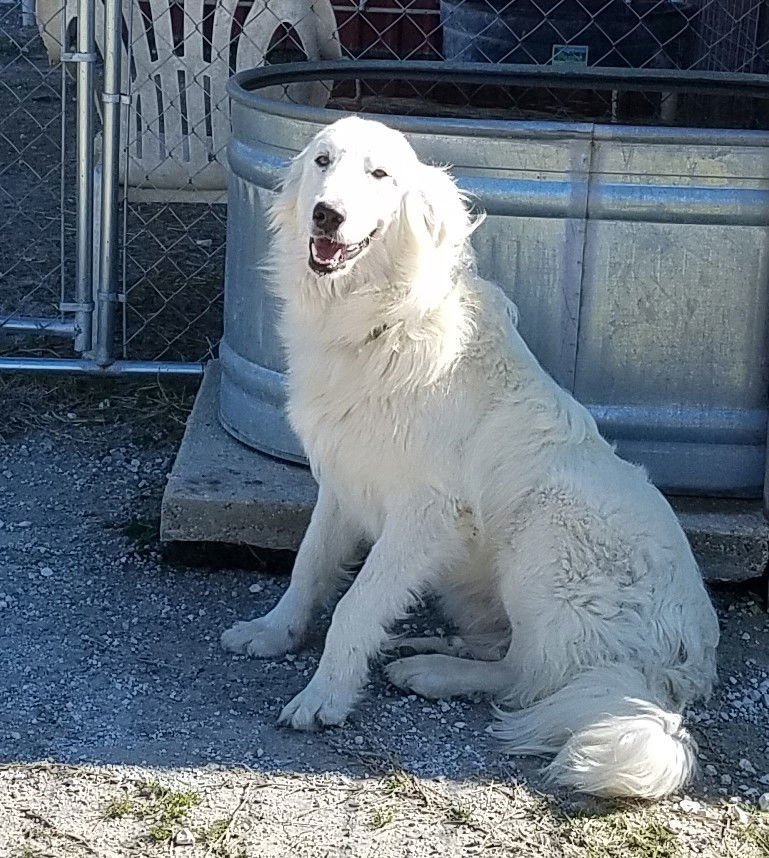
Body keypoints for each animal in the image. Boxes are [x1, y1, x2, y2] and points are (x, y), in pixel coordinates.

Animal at [224, 113, 720, 796]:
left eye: (380, 174)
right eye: (323, 161)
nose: (327, 215)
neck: (380, 320)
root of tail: (687, 669)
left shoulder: (425, 515)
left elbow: (355, 604)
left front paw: (325, 695)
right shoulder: (343, 485)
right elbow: (309, 566)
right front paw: (274, 632)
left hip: (546, 531)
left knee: (528, 677)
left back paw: (434, 672)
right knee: (510, 654)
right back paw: (433, 649)